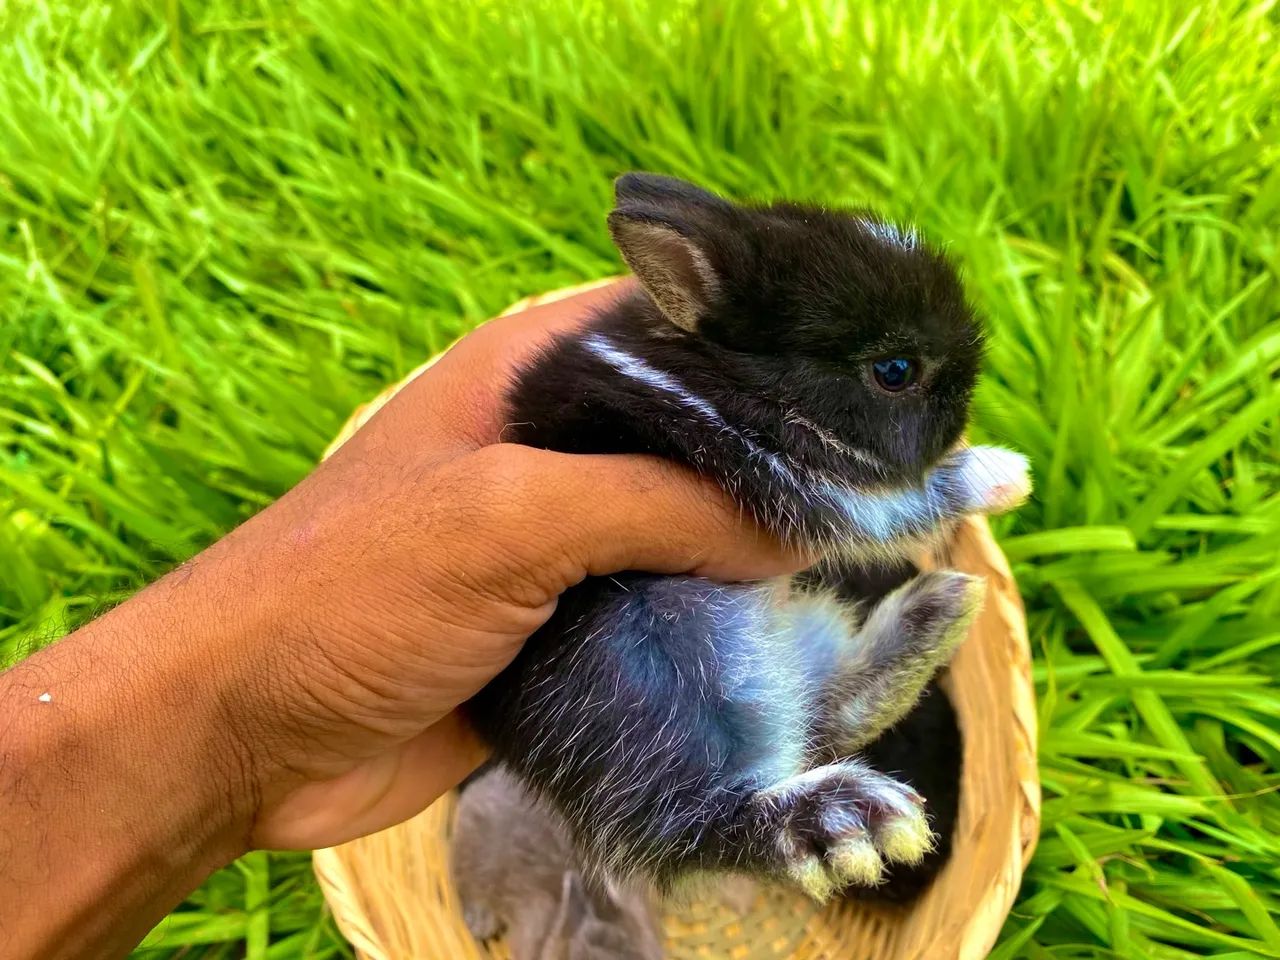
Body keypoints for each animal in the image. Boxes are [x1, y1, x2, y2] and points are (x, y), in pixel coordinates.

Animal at [464, 173, 1031, 901]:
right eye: (896, 371)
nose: (964, 409)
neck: (718, 377)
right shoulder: (799, 483)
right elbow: (898, 504)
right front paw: (1003, 474)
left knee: (828, 713)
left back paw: (941, 607)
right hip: (656, 696)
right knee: (715, 817)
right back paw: (849, 823)